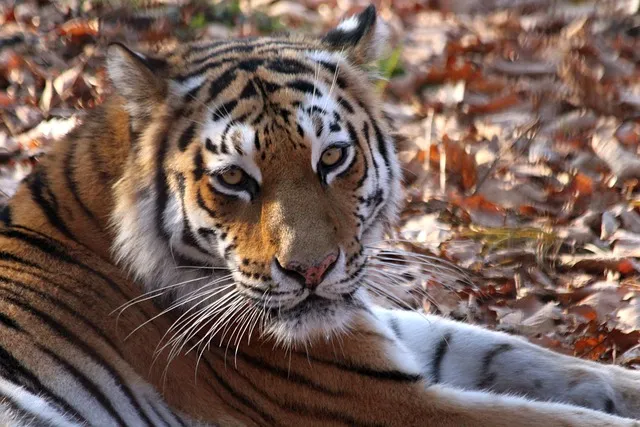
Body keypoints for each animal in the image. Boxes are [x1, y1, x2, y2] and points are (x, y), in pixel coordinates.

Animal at [1, 4, 640, 427]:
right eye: (233, 178)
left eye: (331, 158)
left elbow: (521, 355)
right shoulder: (379, 399)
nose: (310, 271)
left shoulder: (371, 327)